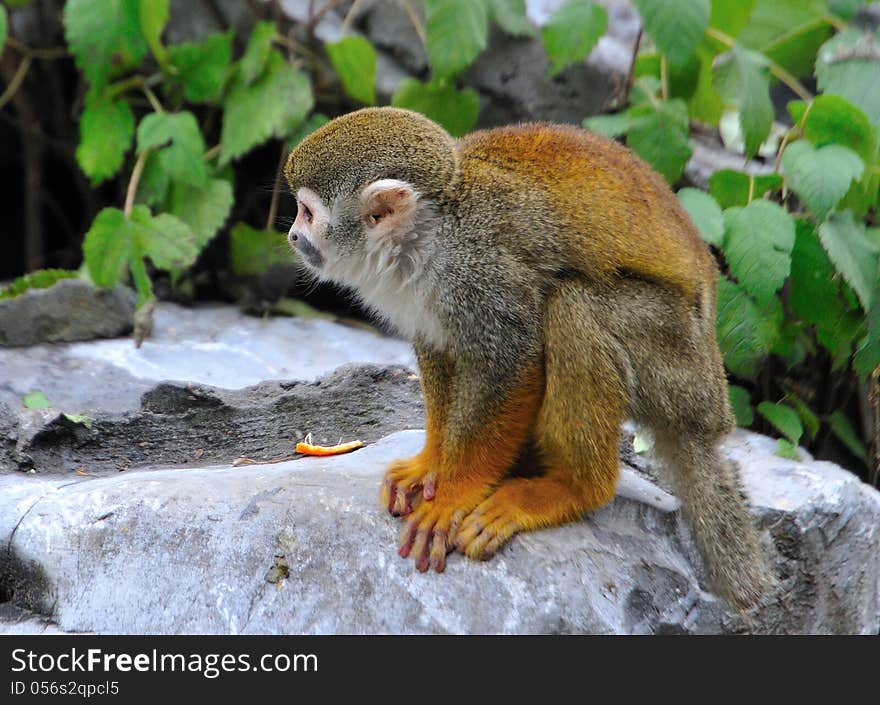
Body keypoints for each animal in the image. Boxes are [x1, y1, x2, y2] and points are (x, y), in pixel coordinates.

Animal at [286, 107, 772, 608]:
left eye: (307, 213)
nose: (292, 235)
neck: (428, 234)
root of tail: (709, 413)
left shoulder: (479, 269)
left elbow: (512, 359)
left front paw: (453, 495)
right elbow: (439, 347)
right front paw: (431, 464)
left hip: (676, 358)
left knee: (572, 306)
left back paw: (573, 488)